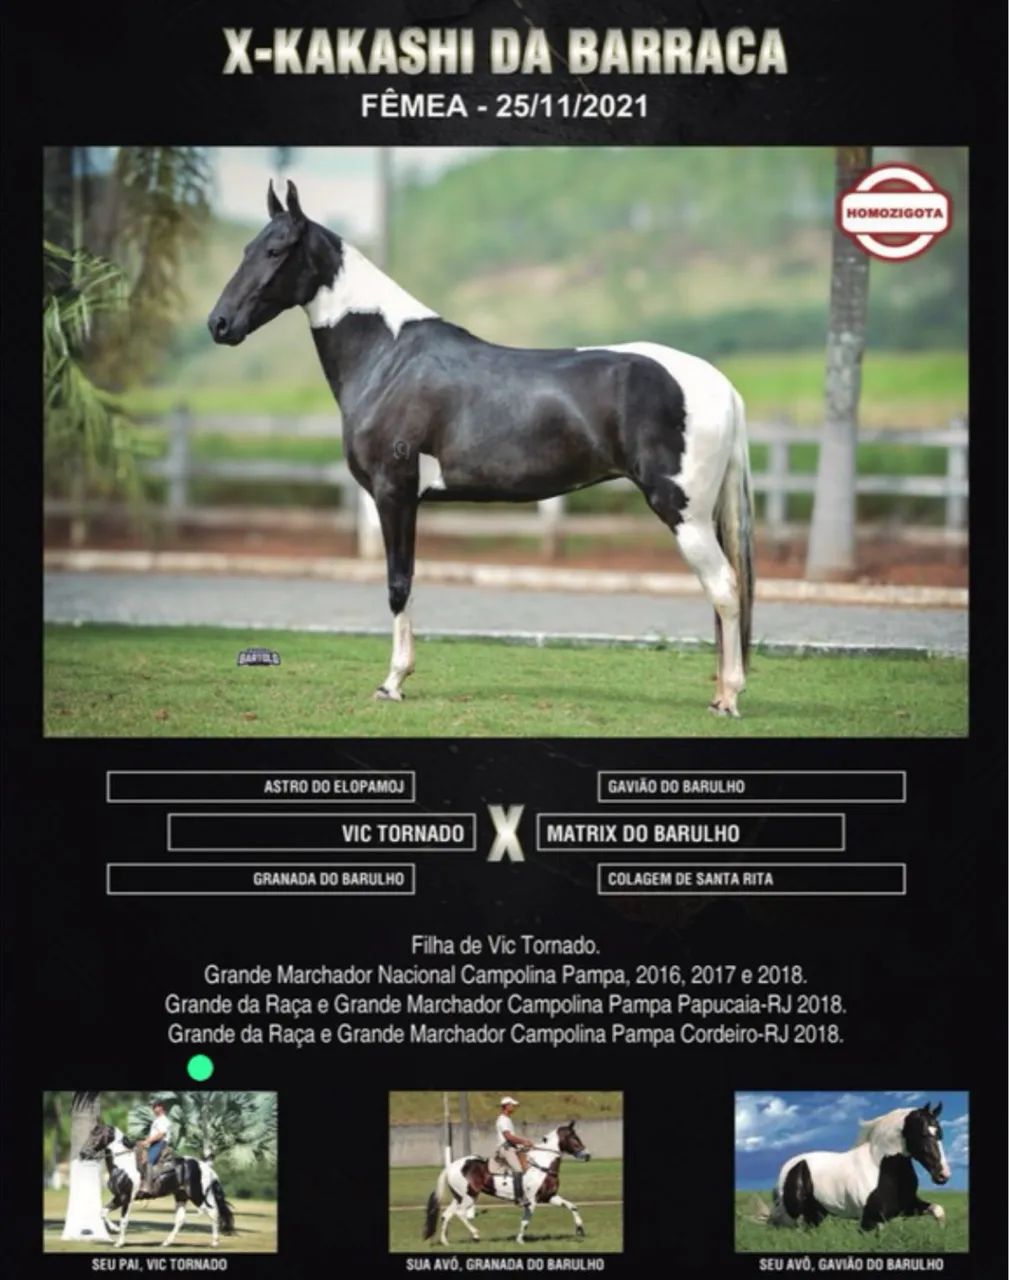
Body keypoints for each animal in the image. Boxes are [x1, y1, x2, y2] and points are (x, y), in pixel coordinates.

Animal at [78, 1122, 236, 1249]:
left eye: (96, 1134)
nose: (83, 1153)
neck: (122, 1164)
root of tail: (206, 1167)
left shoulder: (125, 1197)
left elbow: (123, 1220)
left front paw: (119, 1242)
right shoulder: (118, 1197)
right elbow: (102, 1212)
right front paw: (115, 1229)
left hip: (197, 1196)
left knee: (213, 1213)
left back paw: (214, 1242)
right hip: (183, 1196)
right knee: (181, 1219)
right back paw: (166, 1243)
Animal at [209, 180, 755, 717]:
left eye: (276, 250)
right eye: (247, 248)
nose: (219, 323)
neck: (388, 358)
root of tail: (721, 384)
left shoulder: (394, 492)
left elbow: (399, 583)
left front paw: (393, 683)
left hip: (683, 512)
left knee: (725, 589)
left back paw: (729, 697)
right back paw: (719, 693)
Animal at [422, 1121, 590, 1246]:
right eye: (573, 1137)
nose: (587, 1155)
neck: (542, 1164)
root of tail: (451, 1166)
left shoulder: (550, 1197)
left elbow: (572, 1206)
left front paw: (580, 1229)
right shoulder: (531, 1201)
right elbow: (525, 1221)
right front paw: (520, 1240)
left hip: (459, 1197)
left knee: (447, 1215)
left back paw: (445, 1241)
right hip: (469, 1197)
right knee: (460, 1213)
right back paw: (475, 1235)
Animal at [757, 1102, 950, 1233]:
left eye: (940, 1134)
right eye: (923, 1133)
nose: (943, 1175)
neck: (880, 1169)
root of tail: (788, 1166)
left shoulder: (906, 1207)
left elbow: (938, 1211)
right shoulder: (869, 1220)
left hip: (816, 1214)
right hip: (795, 1215)